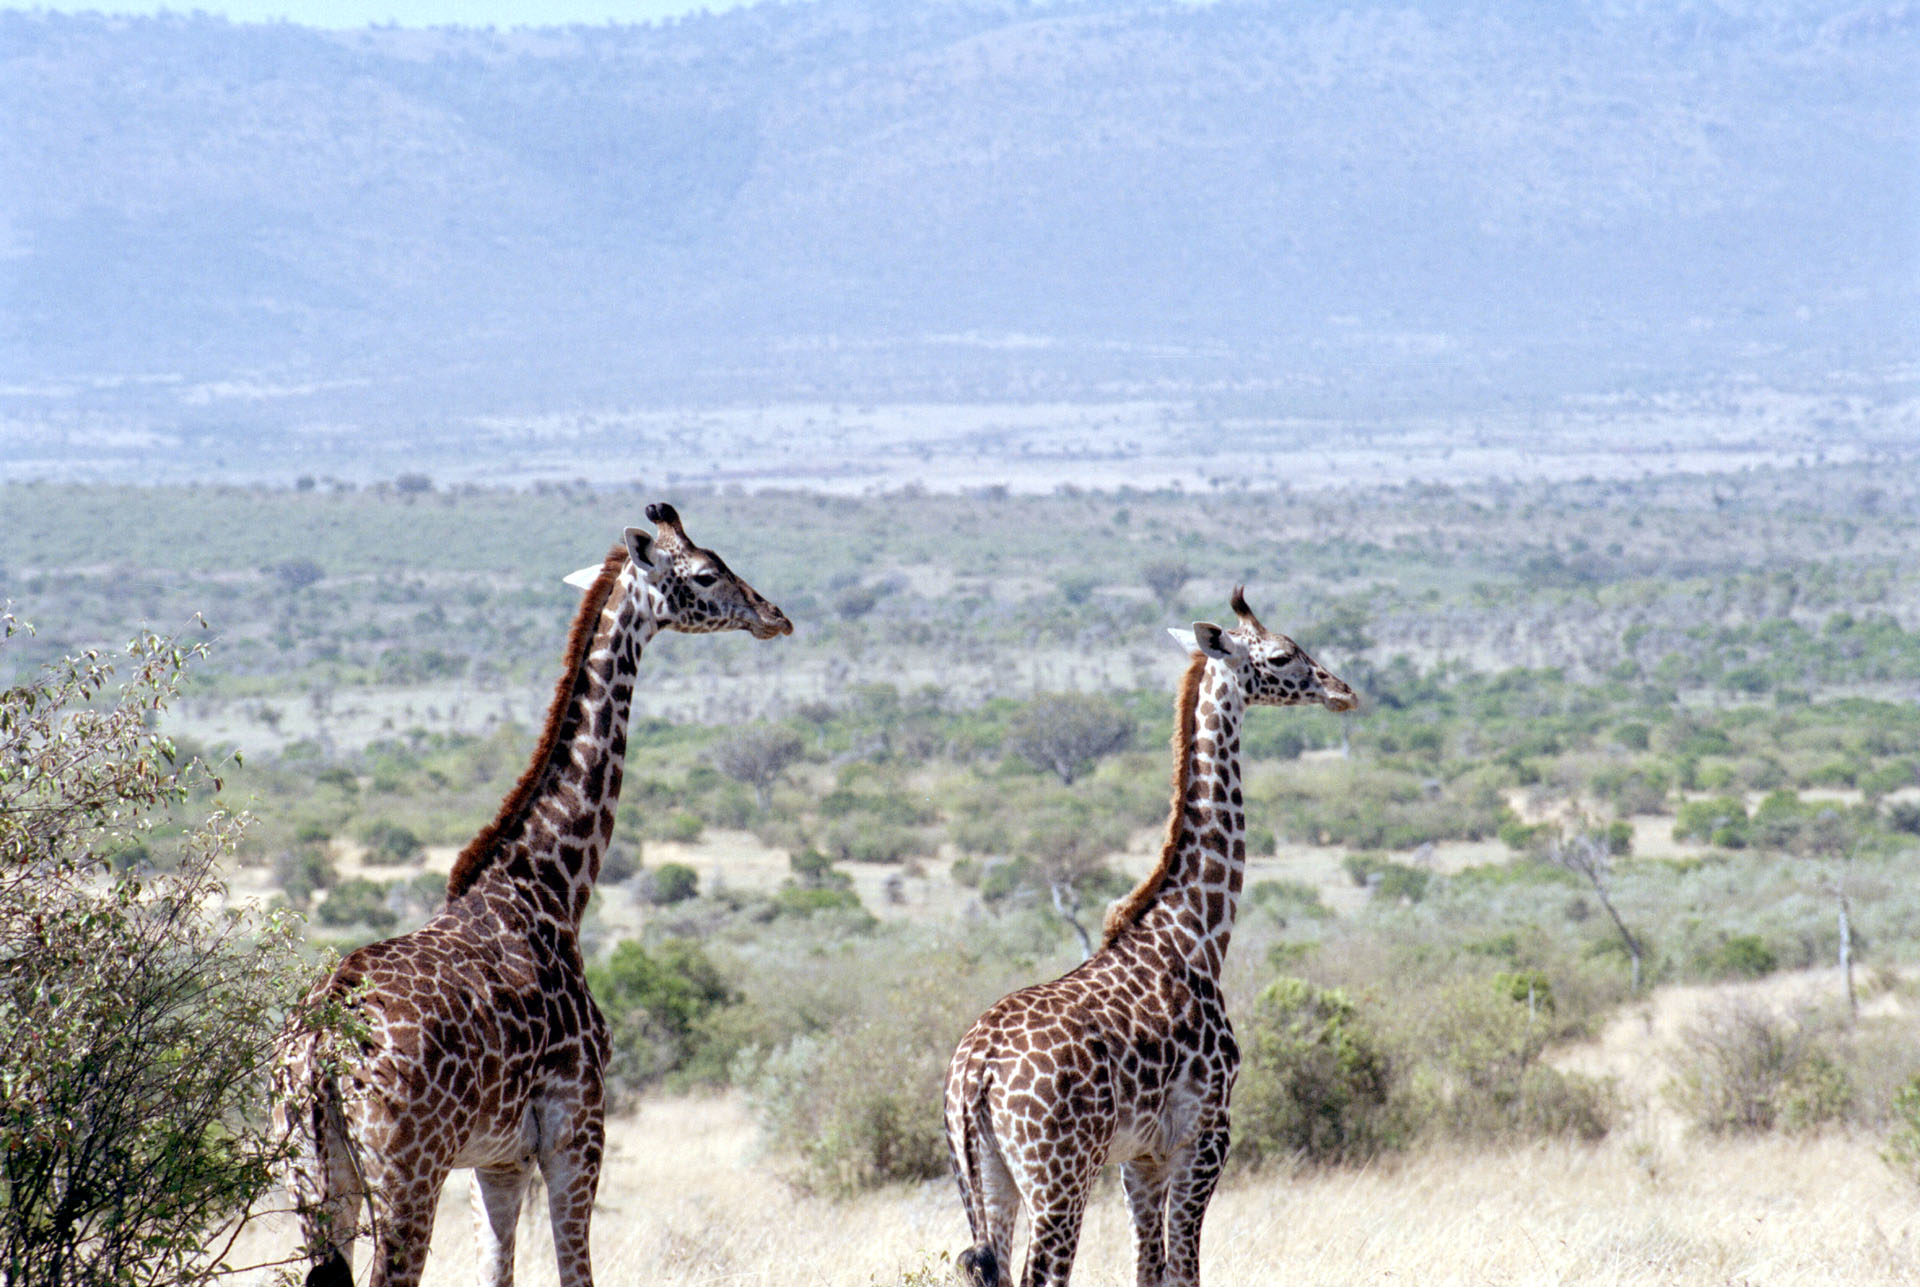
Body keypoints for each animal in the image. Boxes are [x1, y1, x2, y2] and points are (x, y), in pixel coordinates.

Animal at [270, 503, 787, 1287]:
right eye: (704, 573)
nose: (774, 615)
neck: (552, 886)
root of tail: (318, 1048)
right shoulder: (578, 1131)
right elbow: (577, 1272)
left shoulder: (499, 1159)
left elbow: (498, 1271)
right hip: (405, 1173)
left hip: (311, 1179)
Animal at [944, 591, 1351, 1287]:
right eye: (1281, 656)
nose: (1341, 690)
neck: (1196, 935)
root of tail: (977, 1070)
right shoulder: (1204, 1135)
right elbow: (1184, 1268)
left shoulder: (1140, 1158)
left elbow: (1148, 1268)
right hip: (1060, 1178)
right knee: (1040, 1274)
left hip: (985, 1177)